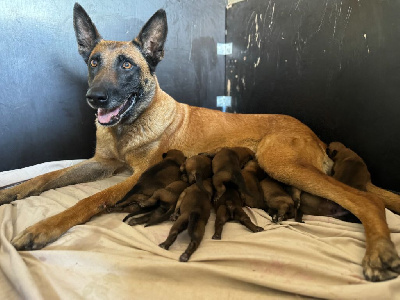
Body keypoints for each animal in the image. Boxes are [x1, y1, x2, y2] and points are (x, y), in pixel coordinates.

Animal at [0, 3, 400, 282]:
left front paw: (43, 228)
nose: (94, 98)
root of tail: (313, 134)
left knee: (366, 199)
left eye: (127, 65)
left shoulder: (134, 176)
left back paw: (378, 252)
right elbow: (47, 177)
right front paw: (12, 190)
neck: (130, 126)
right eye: (94, 62)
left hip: (278, 161)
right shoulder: (103, 163)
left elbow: (90, 199)